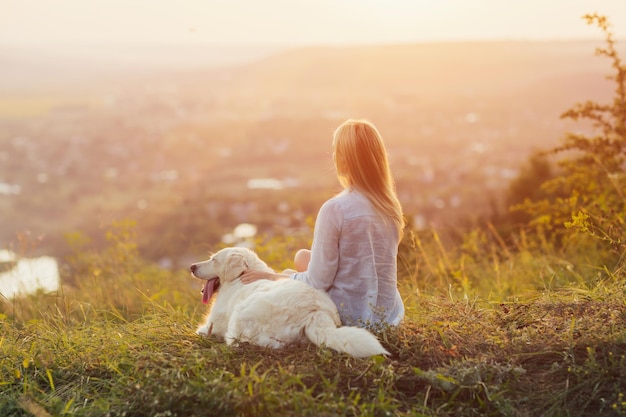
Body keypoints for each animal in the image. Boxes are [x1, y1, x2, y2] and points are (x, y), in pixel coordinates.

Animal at [188, 247, 388, 358]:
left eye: (214, 259)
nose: (192, 266)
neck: (240, 276)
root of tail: (315, 311)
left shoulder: (214, 322)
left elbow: (203, 329)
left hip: (242, 313)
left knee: (239, 341)